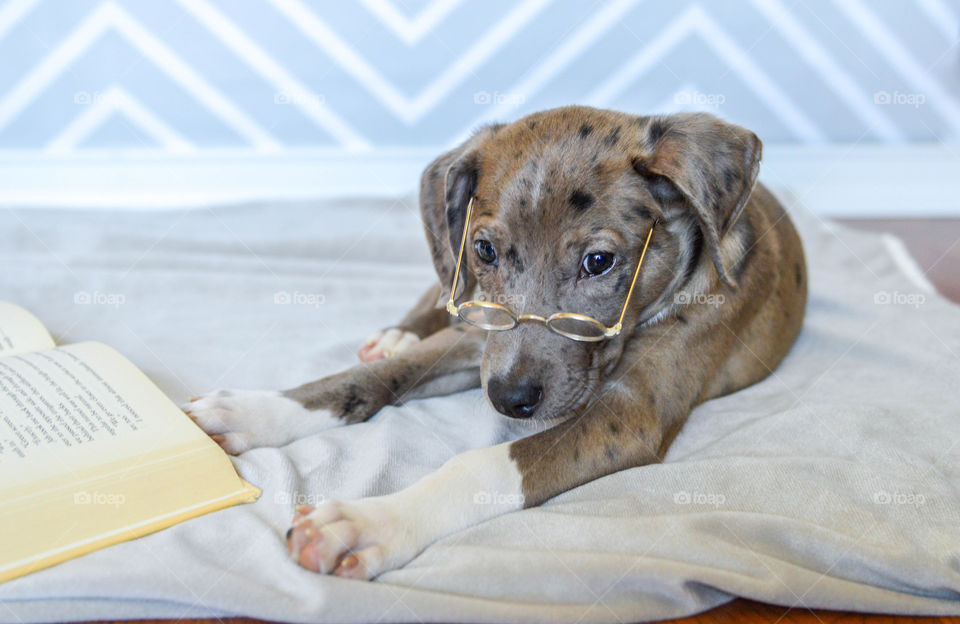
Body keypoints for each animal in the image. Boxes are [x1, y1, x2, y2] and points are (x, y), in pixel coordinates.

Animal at [186, 105, 804, 576]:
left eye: (599, 262)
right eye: (485, 250)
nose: (510, 399)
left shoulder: (632, 414)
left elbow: (482, 465)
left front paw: (371, 523)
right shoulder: (481, 335)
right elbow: (371, 377)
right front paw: (255, 410)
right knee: (438, 290)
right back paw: (393, 334)